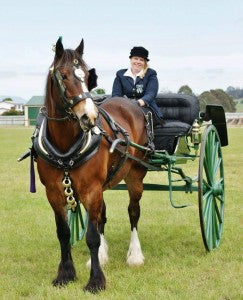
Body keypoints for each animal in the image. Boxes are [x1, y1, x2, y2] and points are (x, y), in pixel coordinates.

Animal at [36, 37, 148, 292]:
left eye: (87, 76)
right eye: (63, 75)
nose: (89, 117)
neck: (65, 145)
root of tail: (130, 103)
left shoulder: (91, 189)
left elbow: (92, 237)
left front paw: (96, 280)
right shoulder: (54, 192)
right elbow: (64, 233)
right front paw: (65, 274)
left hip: (135, 175)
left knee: (133, 212)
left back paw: (135, 254)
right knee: (101, 216)